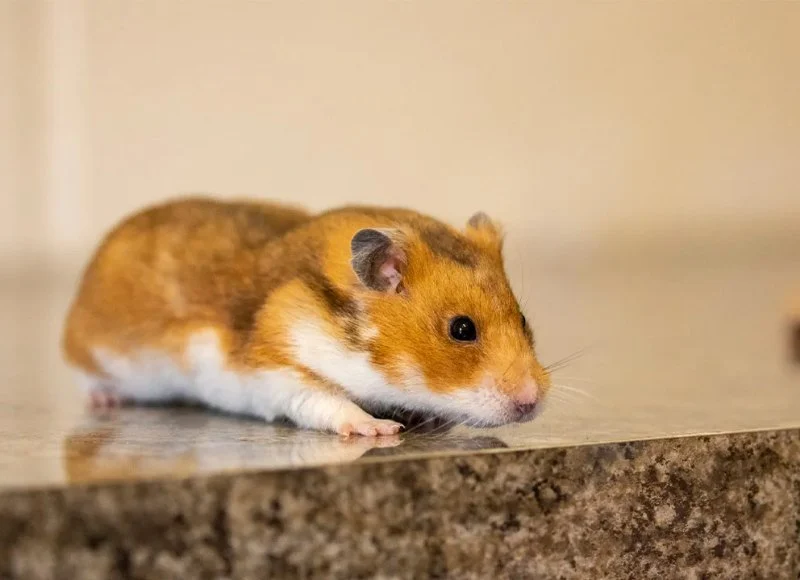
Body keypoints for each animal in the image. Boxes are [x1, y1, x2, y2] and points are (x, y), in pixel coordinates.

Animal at [62, 197, 550, 436]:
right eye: (462, 329)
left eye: (525, 320)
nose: (532, 404)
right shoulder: (275, 369)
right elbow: (326, 401)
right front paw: (381, 429)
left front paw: (431, 420)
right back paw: (104, 400)